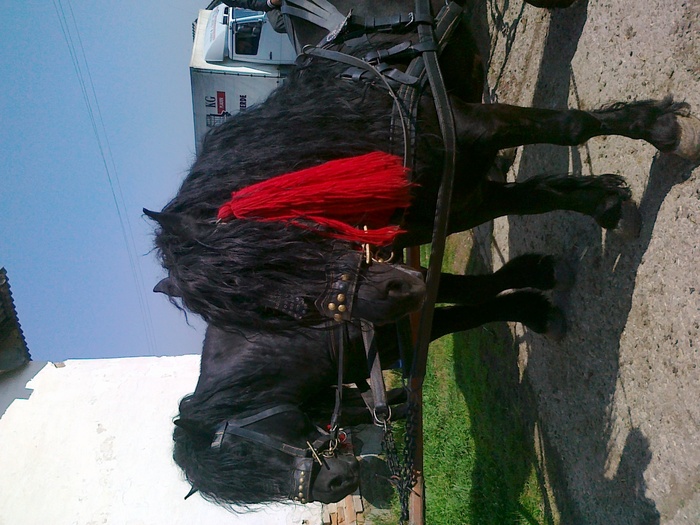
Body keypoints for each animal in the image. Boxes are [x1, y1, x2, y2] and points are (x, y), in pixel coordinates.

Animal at [145, 0, 696, 510]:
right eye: (269, 317)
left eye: (274, 269)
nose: (335, 485)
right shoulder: (455, 210)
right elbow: (498, 255)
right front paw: (553, 269)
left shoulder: (471, 127)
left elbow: (569, 126)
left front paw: (658, 129)